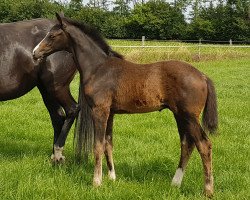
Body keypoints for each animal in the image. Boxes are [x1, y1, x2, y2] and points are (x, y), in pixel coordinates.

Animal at [32, 14, 217, 197]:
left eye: (52, 35)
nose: (34, 53)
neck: (98, 68)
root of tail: (202, 76)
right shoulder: (110, 112)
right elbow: (108, 144)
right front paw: (112, 177)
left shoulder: (99, 111)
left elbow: (98, 145)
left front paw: (96, 182)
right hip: (179, 115)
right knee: (187, 144)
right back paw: (175, 183)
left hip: (189, 116)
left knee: (203, 144)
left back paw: (208, 190)